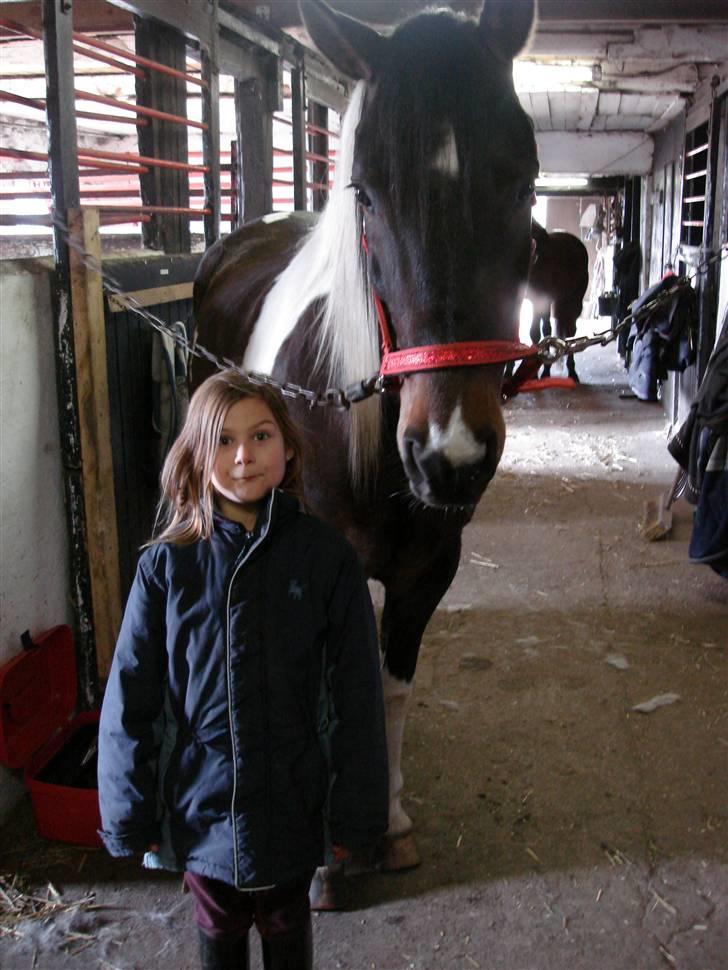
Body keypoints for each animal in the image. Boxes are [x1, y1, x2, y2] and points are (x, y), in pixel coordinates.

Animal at [192, 0, 539, 896]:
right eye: (367, 193)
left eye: (524, 183)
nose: (451, 455)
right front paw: (325, 849)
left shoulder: (430, 568)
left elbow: (387, 687)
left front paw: (385, 819)